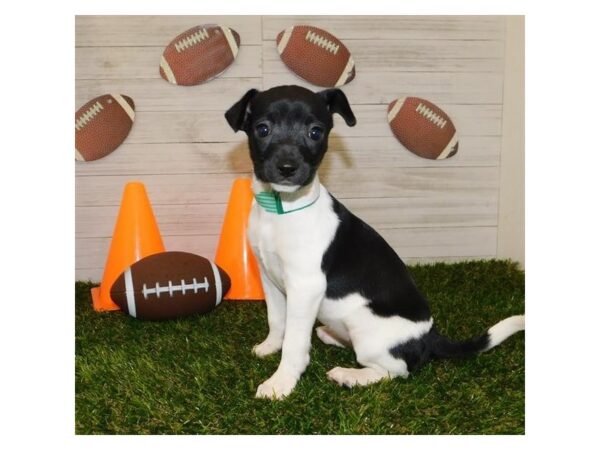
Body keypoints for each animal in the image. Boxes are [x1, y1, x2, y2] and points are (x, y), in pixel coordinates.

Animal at [225, 85, 524, 400]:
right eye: (263, 129)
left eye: (315, 132)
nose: (287, 167)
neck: (281, 209)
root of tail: (430, 336)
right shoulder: (269, 278)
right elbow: (277, 320)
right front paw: (270, 346)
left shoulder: (305, 288)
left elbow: (295, 343)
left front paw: (281, 381)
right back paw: (330, 335)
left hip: (365, 328)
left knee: (395, 370)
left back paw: (349, 375)